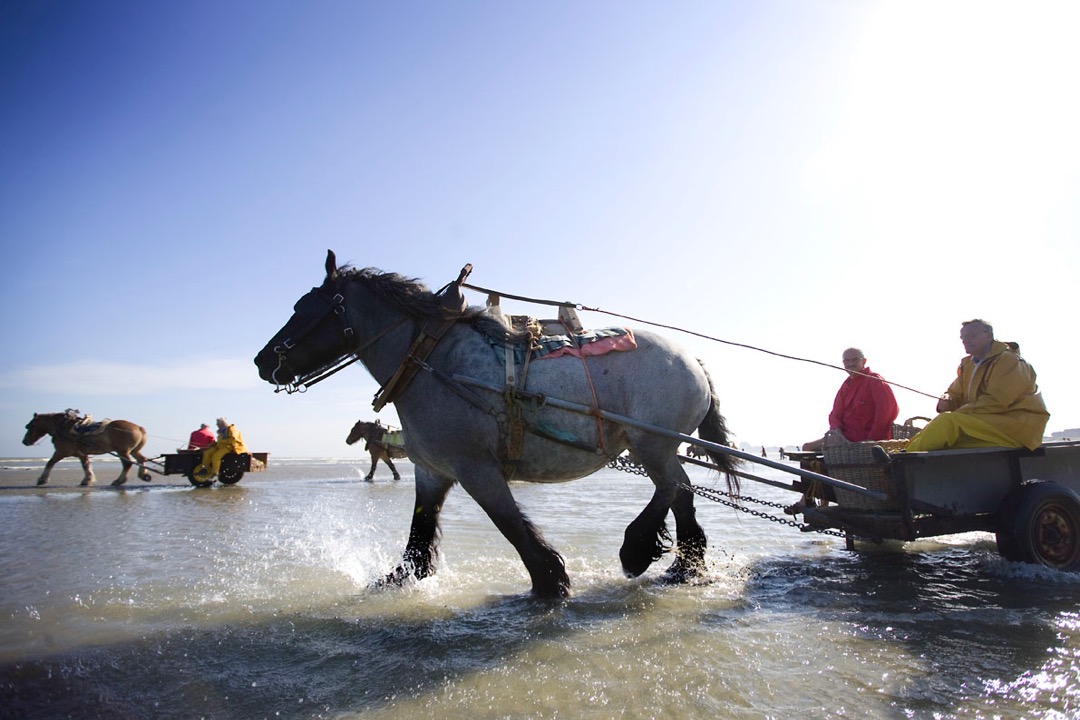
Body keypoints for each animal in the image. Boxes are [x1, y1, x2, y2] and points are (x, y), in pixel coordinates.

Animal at [22, 408, 154, 487]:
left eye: (29, 426)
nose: (24, 441)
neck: (64, 427)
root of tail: (139, 428)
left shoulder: (61, 452)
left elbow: (50, 463)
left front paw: (42, 479)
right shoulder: (81, 454)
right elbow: (86, 466)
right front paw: (87, 480)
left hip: (122, 451)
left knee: (127, 464)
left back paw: (119, 481)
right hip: (133, 450)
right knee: (141, 459)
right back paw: (143, 475)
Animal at [257, 250, 738, 600]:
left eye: (303, 308)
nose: (262, 361)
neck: (432, 360)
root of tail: (694, 360)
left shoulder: (476, 469)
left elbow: (511, 525)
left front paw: (551, 582)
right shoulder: (431, 470)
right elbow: (418, 538)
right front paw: (395, 579)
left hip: (650, 444)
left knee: (673, 488)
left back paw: (637, 549)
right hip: (654, 448)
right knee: (681, 492)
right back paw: (685, 565)